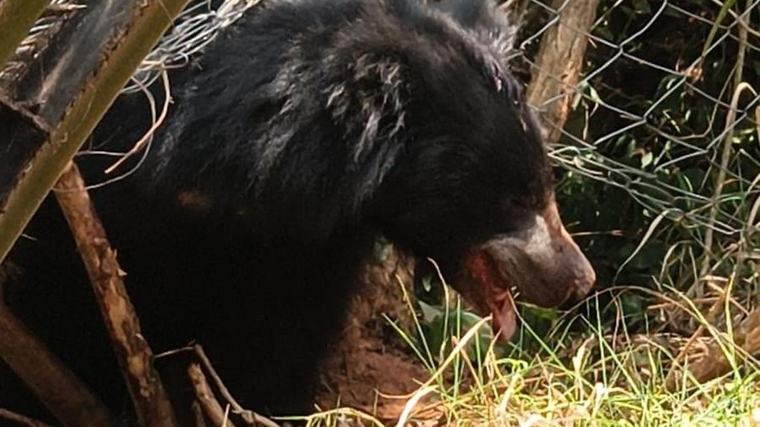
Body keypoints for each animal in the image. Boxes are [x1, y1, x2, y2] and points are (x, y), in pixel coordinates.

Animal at [1, 0, 595, 420]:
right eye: (513, 197)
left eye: (541, 184)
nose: (578, 280)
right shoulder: (96, 186)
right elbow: (63, 305)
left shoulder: (305, 243)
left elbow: (278, 336)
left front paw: (258, 406)